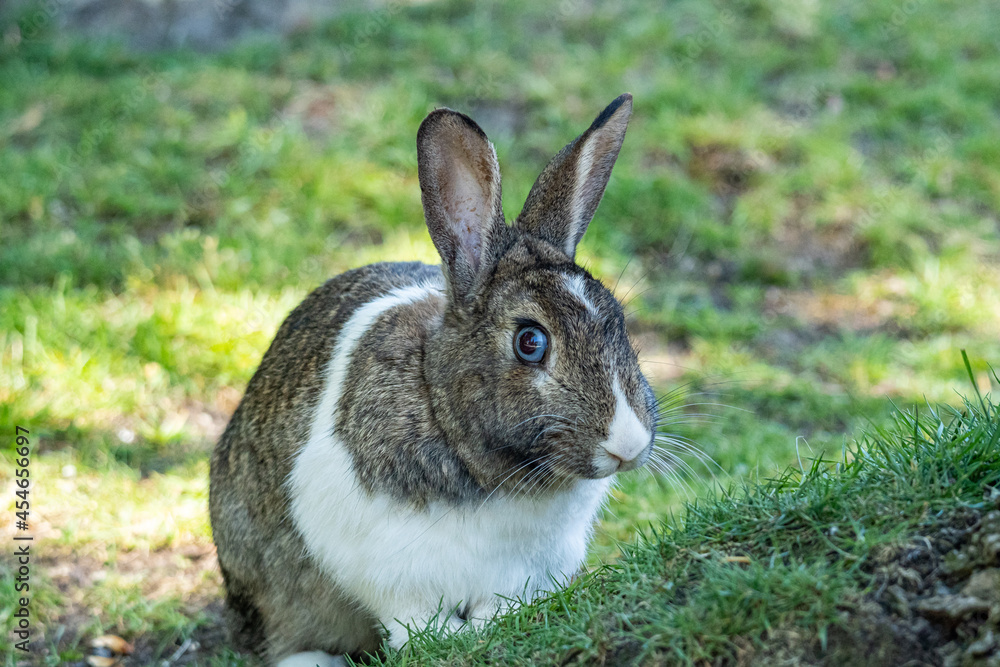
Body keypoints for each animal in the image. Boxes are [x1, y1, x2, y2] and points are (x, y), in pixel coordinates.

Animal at [209, 93, 657, 666]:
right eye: (530, 341)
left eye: (618, 320)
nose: (630, 444)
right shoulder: (388, 566)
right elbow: (413, 620)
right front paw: (453, 639)